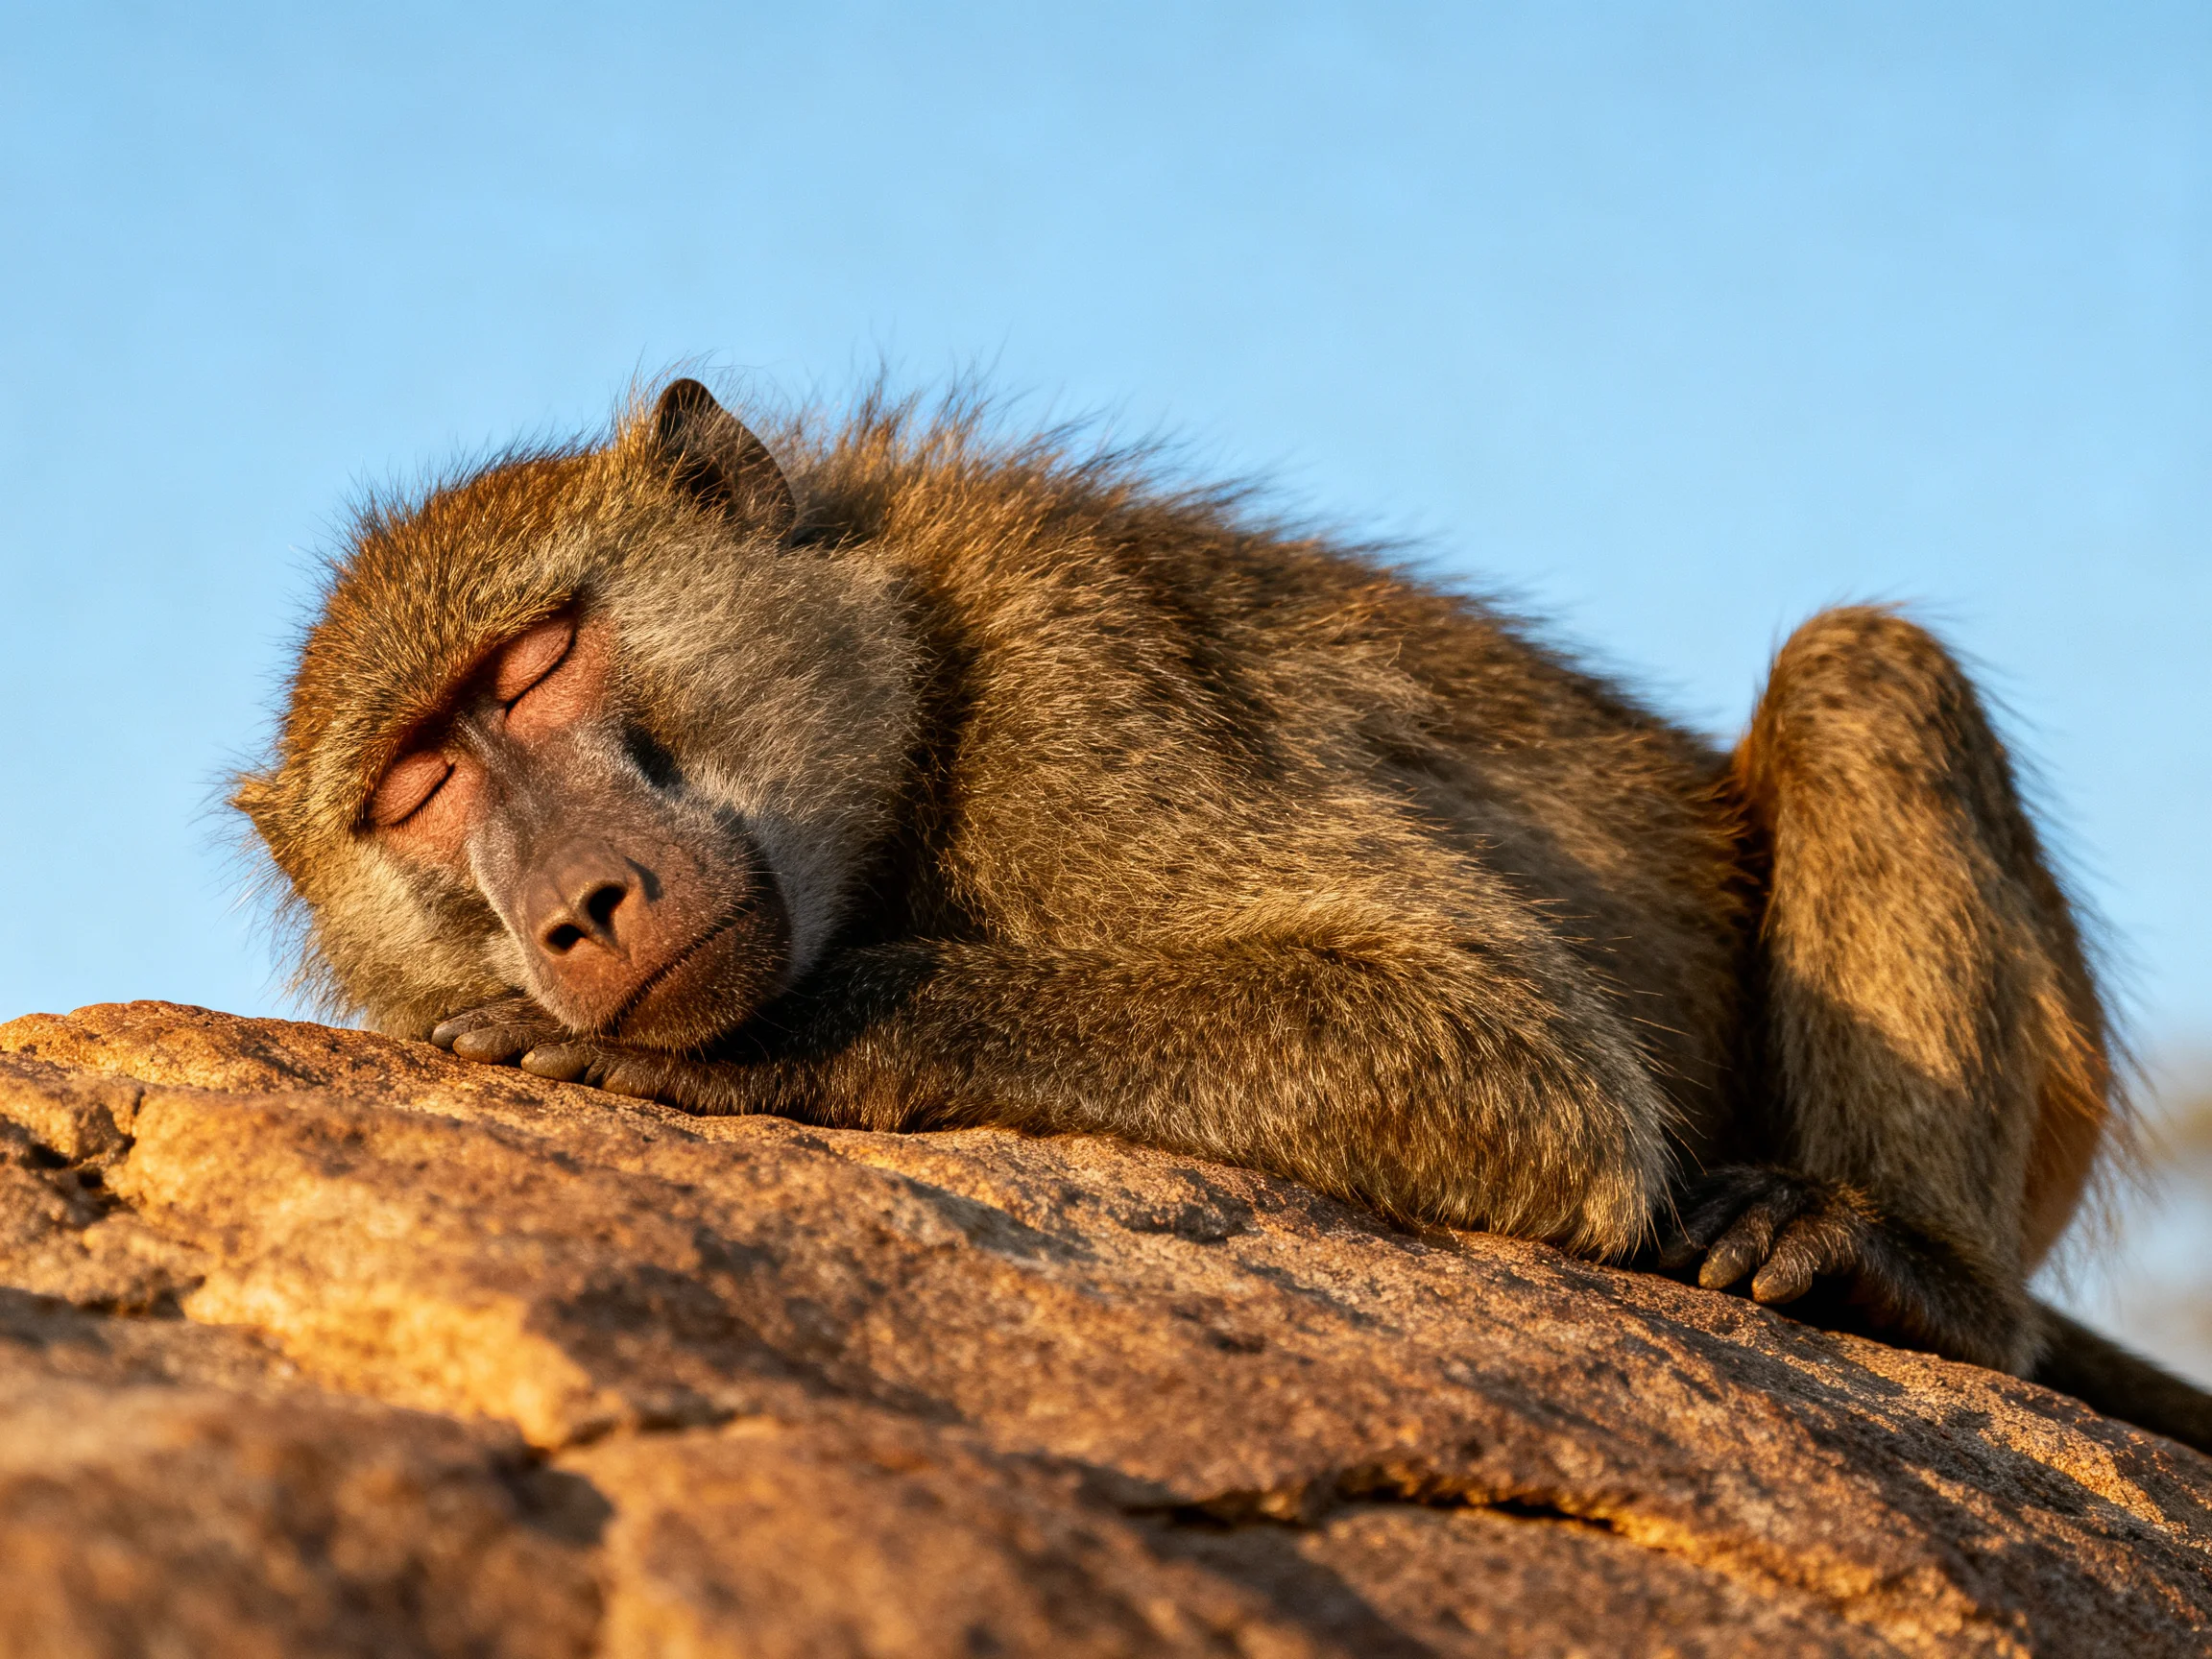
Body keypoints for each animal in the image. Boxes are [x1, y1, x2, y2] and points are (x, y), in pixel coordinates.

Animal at [234, 376, 2212, 1453]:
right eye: (416, 789)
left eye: (537, 663)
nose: (577, 904)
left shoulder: (1075, 676)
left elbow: (1508, 1057)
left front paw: (779, 1041)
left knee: (1858, 669)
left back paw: (1910, 1272)